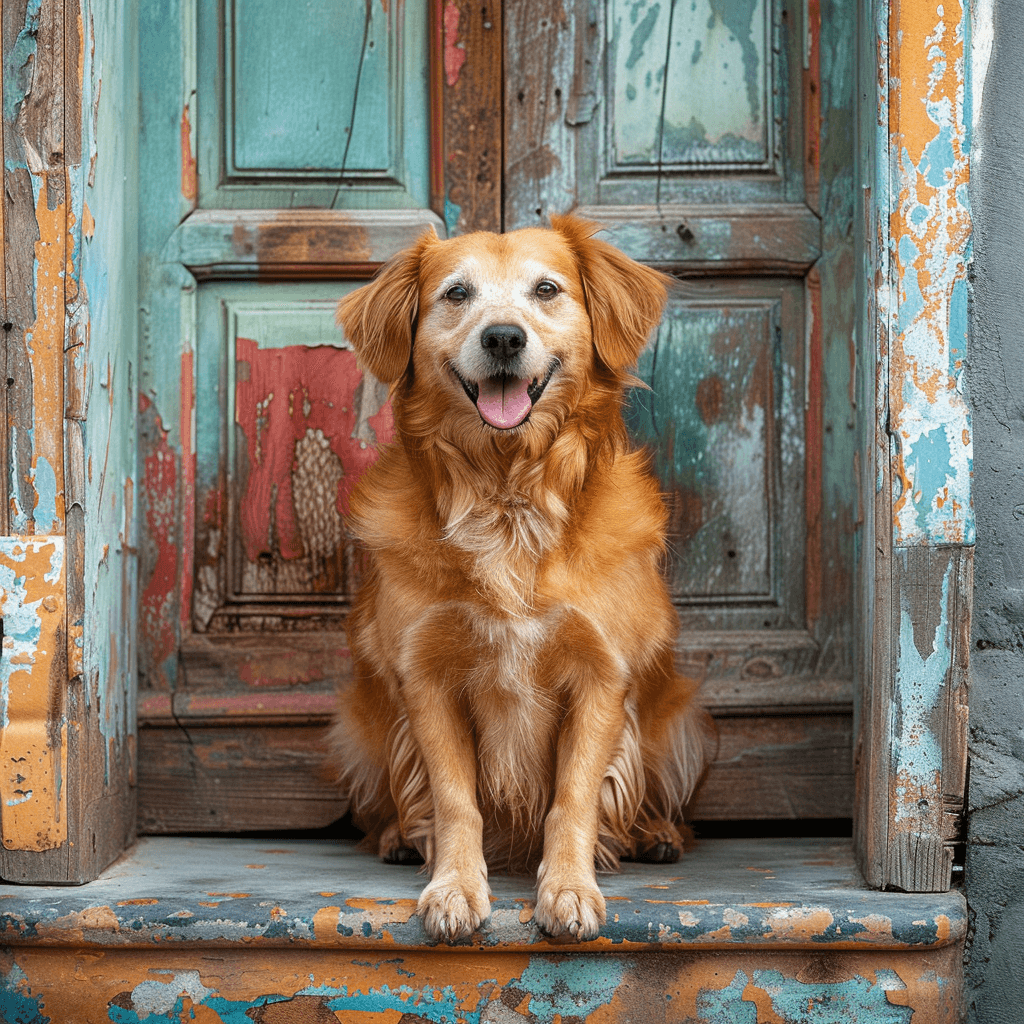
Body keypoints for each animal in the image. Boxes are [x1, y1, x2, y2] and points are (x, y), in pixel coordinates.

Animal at [327, 214, 712, 942]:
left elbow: (575, 797)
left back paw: (655, 833)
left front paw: (568, 889)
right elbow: (454, 800)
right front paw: (454, 886)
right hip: (362, 720)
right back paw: (398, 837)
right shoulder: (428, 679)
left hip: (680, 718)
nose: (503, 336)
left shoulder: (600, 677)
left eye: (547, 289)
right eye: (456, 293)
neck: (508, 493)